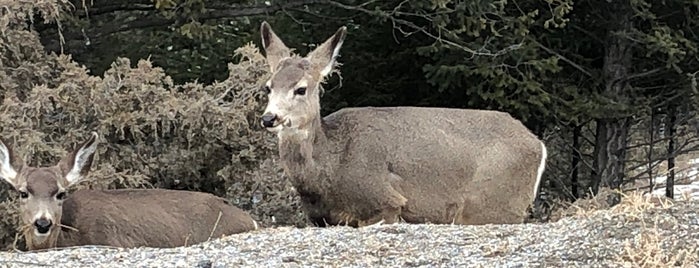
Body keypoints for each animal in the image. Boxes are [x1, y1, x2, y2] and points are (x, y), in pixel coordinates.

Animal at [258, 21, 548, 226]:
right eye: (268, 86)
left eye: (301, 89)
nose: (269, 118)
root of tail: (539, 145)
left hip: (491, 205)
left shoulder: (384, 198)